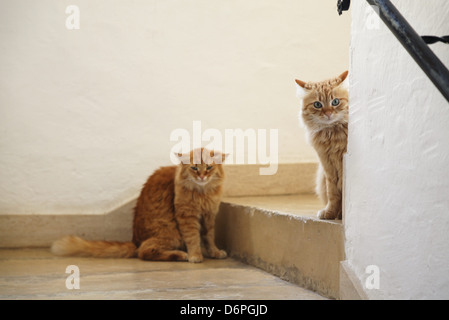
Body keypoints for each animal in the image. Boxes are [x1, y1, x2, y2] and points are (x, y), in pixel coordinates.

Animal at [51, 148, 228, 262]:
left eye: (209, 167)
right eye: (194, 168)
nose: (202, 177)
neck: (203, 194)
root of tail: (134, 241)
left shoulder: (209, 216)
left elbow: (209, 237)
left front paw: (214, 252)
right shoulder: (187, 217)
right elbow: (193, 238)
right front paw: (195, 256)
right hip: (170, 233)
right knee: (143, 252)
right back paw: (180, 255)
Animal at [296, 70, 348, 220]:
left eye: (335, 102)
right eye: (317, 104)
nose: (328, 113)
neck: (330, 133)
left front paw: (341, 215)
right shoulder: (327, 166)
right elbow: (333, 194)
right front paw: (330, 212)